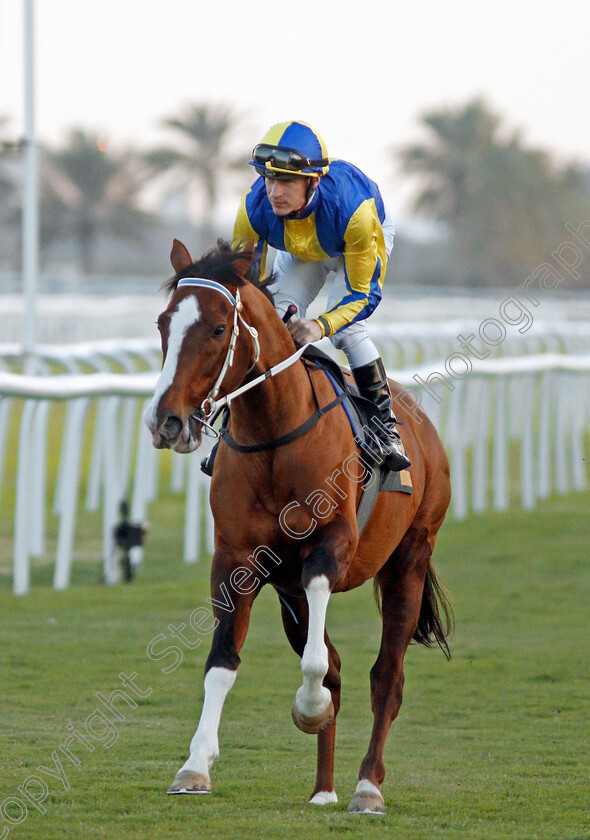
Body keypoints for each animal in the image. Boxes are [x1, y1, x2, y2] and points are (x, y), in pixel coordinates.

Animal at [145, 238, 454, 812]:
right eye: (163, 323)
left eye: (217, 329)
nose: (166, 421)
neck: (274, 436)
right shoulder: (237, 560)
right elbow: (224, 660)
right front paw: (194, 767)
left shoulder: (330, 548)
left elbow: (317, 667)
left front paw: (309, 708)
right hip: (290, 594)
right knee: (338, 667)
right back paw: (324, 790)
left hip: (410, 559)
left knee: (387, 676)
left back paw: (366, 787)